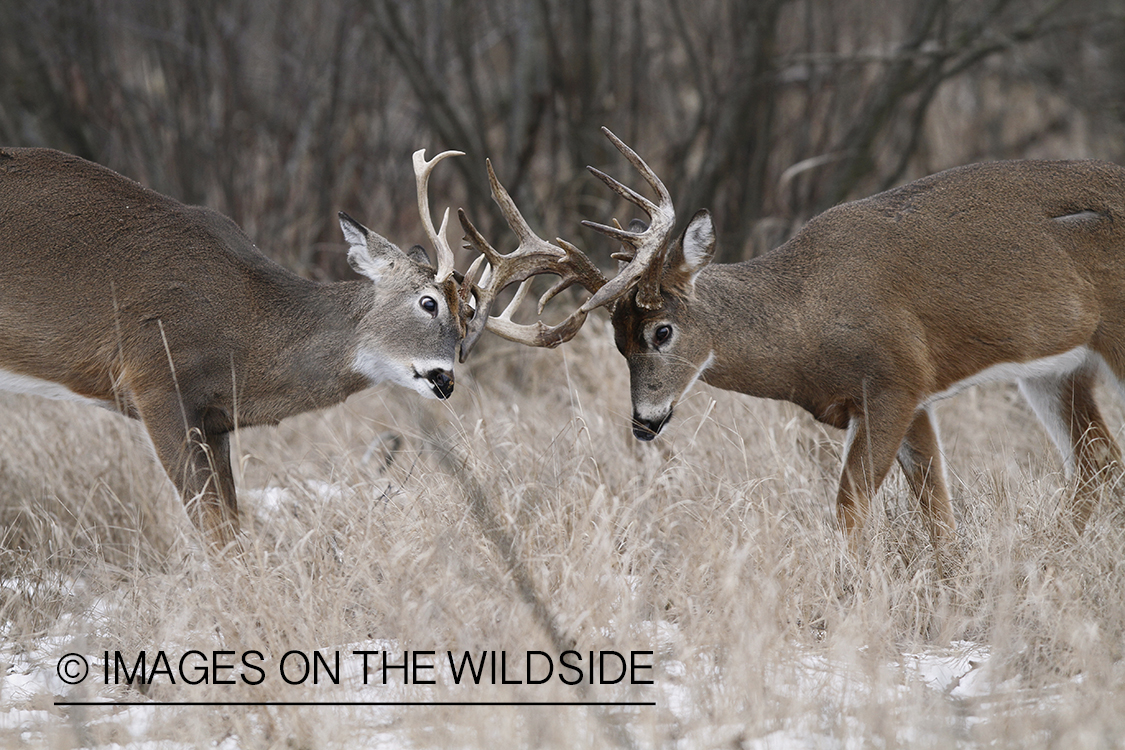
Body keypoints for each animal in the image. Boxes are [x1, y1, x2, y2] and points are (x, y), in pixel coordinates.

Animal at [0, 145, 468, 550]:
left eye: (468, 314)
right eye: (429, 302)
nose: (446, 380)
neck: (245, 328)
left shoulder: (215, 418)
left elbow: (230, 522)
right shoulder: (155, 379)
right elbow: (214, 531)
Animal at [456, 127, 1125, 550]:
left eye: (662, 331)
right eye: (618, 343)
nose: (644, 422)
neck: (808, 321)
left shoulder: (896, 379)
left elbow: (851, 505)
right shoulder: (910, 399)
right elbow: (937, 511)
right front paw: (953, 584)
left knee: (1098, 462)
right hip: (1052, 369)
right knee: (1098, 463)